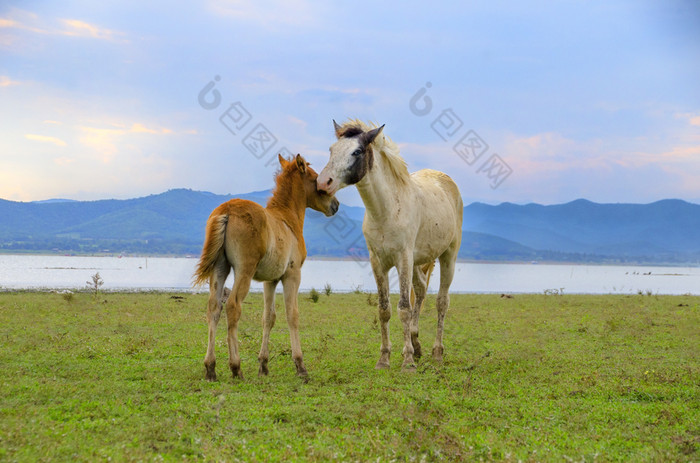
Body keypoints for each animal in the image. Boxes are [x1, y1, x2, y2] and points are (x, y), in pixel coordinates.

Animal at [318, 120, 464, 374]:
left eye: (357, 151)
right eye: (331, 150)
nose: (323, 183)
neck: (387, 211)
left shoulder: (402, 259)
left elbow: (403, 308)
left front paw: (407, 362)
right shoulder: (378, 261)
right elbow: (384, 309)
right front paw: (385, 359)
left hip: (448, 256)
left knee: (441, 302)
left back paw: (436, 353)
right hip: (418, 261)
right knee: (421, 289)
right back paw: (417, 344)